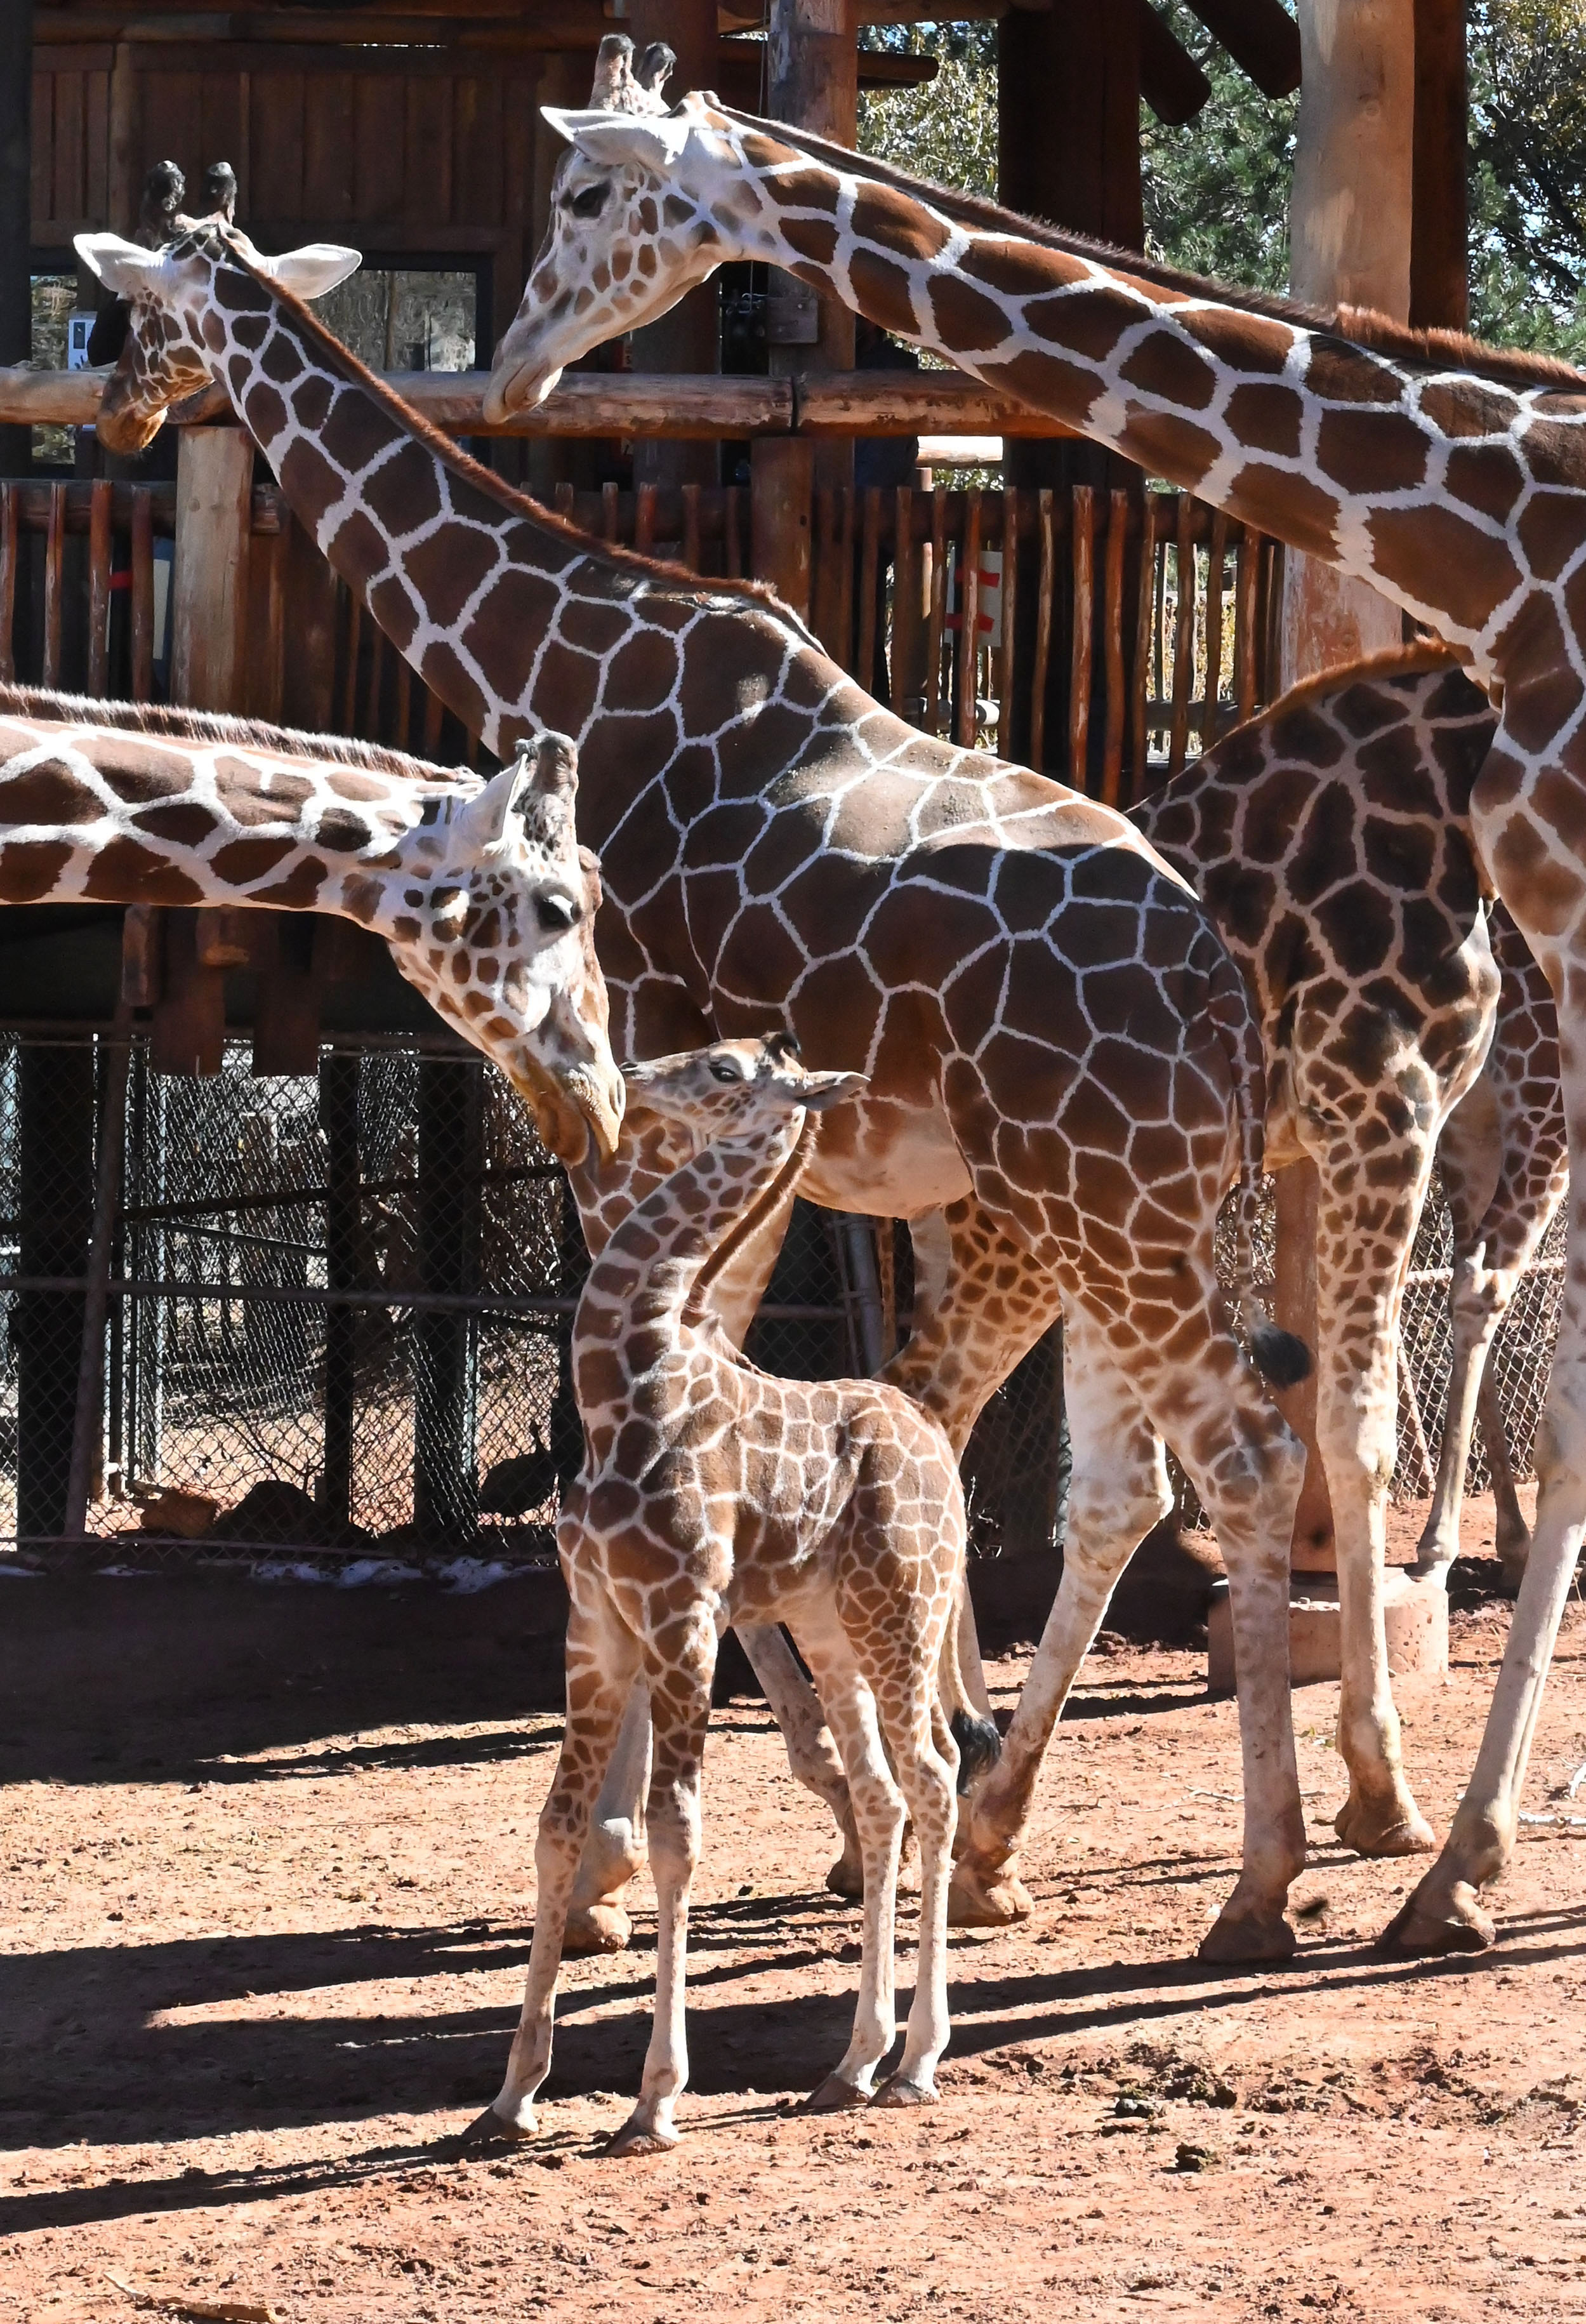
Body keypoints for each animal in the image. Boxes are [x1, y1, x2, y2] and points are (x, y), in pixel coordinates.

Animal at [77, 216, 1318, 1963]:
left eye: (132, 313)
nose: (117, 406)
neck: (575, 654)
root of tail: (1219, 994)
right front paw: (835, 1789)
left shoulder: (635, 1118)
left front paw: (625, 1849)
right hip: (1116, 1206)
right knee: (1123, 1482)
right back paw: (1030, 1828)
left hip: (1099, 1204)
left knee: (1236, 1463)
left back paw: (1259, 1879)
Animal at [471, 1033, 995, 2153]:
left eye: (721, 1068)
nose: (630, 1073)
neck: (623, 1384)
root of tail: (937, 1443)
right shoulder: (594, 1623)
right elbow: (554, 1827)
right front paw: (510, 2095)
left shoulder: (683, 1616)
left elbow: (677, 1832)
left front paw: (654, 2100)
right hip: (827, 1623)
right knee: (882, 1792)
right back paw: (852, 2063)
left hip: (900, 1610)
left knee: (933, 1775)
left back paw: (916, 2062)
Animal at [490, 94, 1586, 1953]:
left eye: (583, 192)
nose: (513, 367)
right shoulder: (1362, 1120)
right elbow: (1238, 1456)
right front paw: (1379, 1823)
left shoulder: (1367, 1118)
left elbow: (1304, 1441)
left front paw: (1379, 1819)